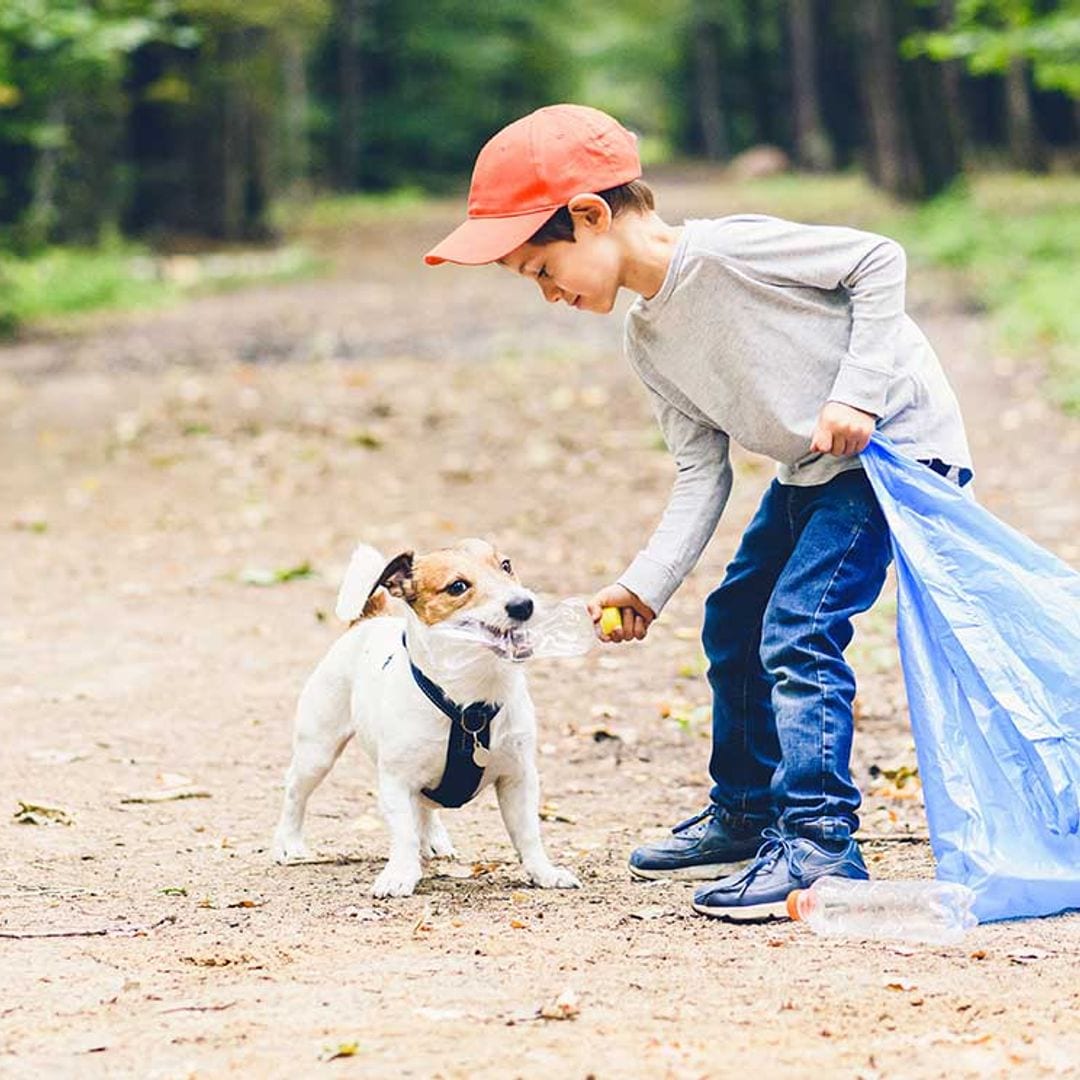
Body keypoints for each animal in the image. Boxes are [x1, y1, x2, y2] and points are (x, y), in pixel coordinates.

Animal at [272, 535, 583, 898]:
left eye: (506, 565)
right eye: (457, 586)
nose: (523, 605)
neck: (470, 705)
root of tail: (368, 621)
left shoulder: (518, 778)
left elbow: (528, 834)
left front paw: (544, 872)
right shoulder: (396, 781)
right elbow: (404, 834)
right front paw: (400, 874)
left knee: (424, 806)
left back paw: (433, 839)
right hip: (317, 751)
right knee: (296, 793)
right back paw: (290, 843)